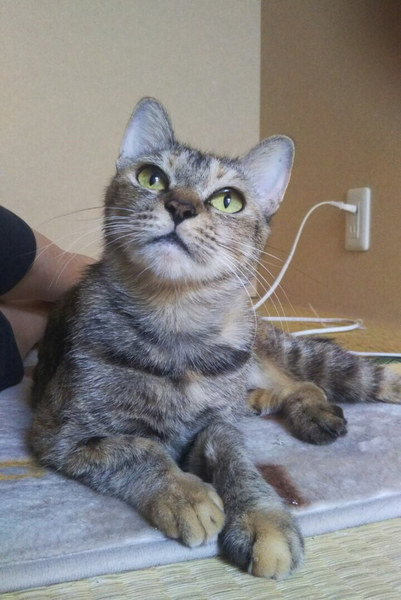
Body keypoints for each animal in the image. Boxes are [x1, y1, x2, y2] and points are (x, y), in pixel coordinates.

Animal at [29, 98, 401, 579]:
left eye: (229, 201)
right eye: (151, 177)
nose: (180, 206)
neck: (176, 325)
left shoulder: (217, 425)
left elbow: (236, 459)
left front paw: (262, 516)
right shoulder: (61, 433)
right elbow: (139, 448)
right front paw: (184, 493)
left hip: (256, 355)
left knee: (307, 381)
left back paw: (308, 409)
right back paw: (266, 402)